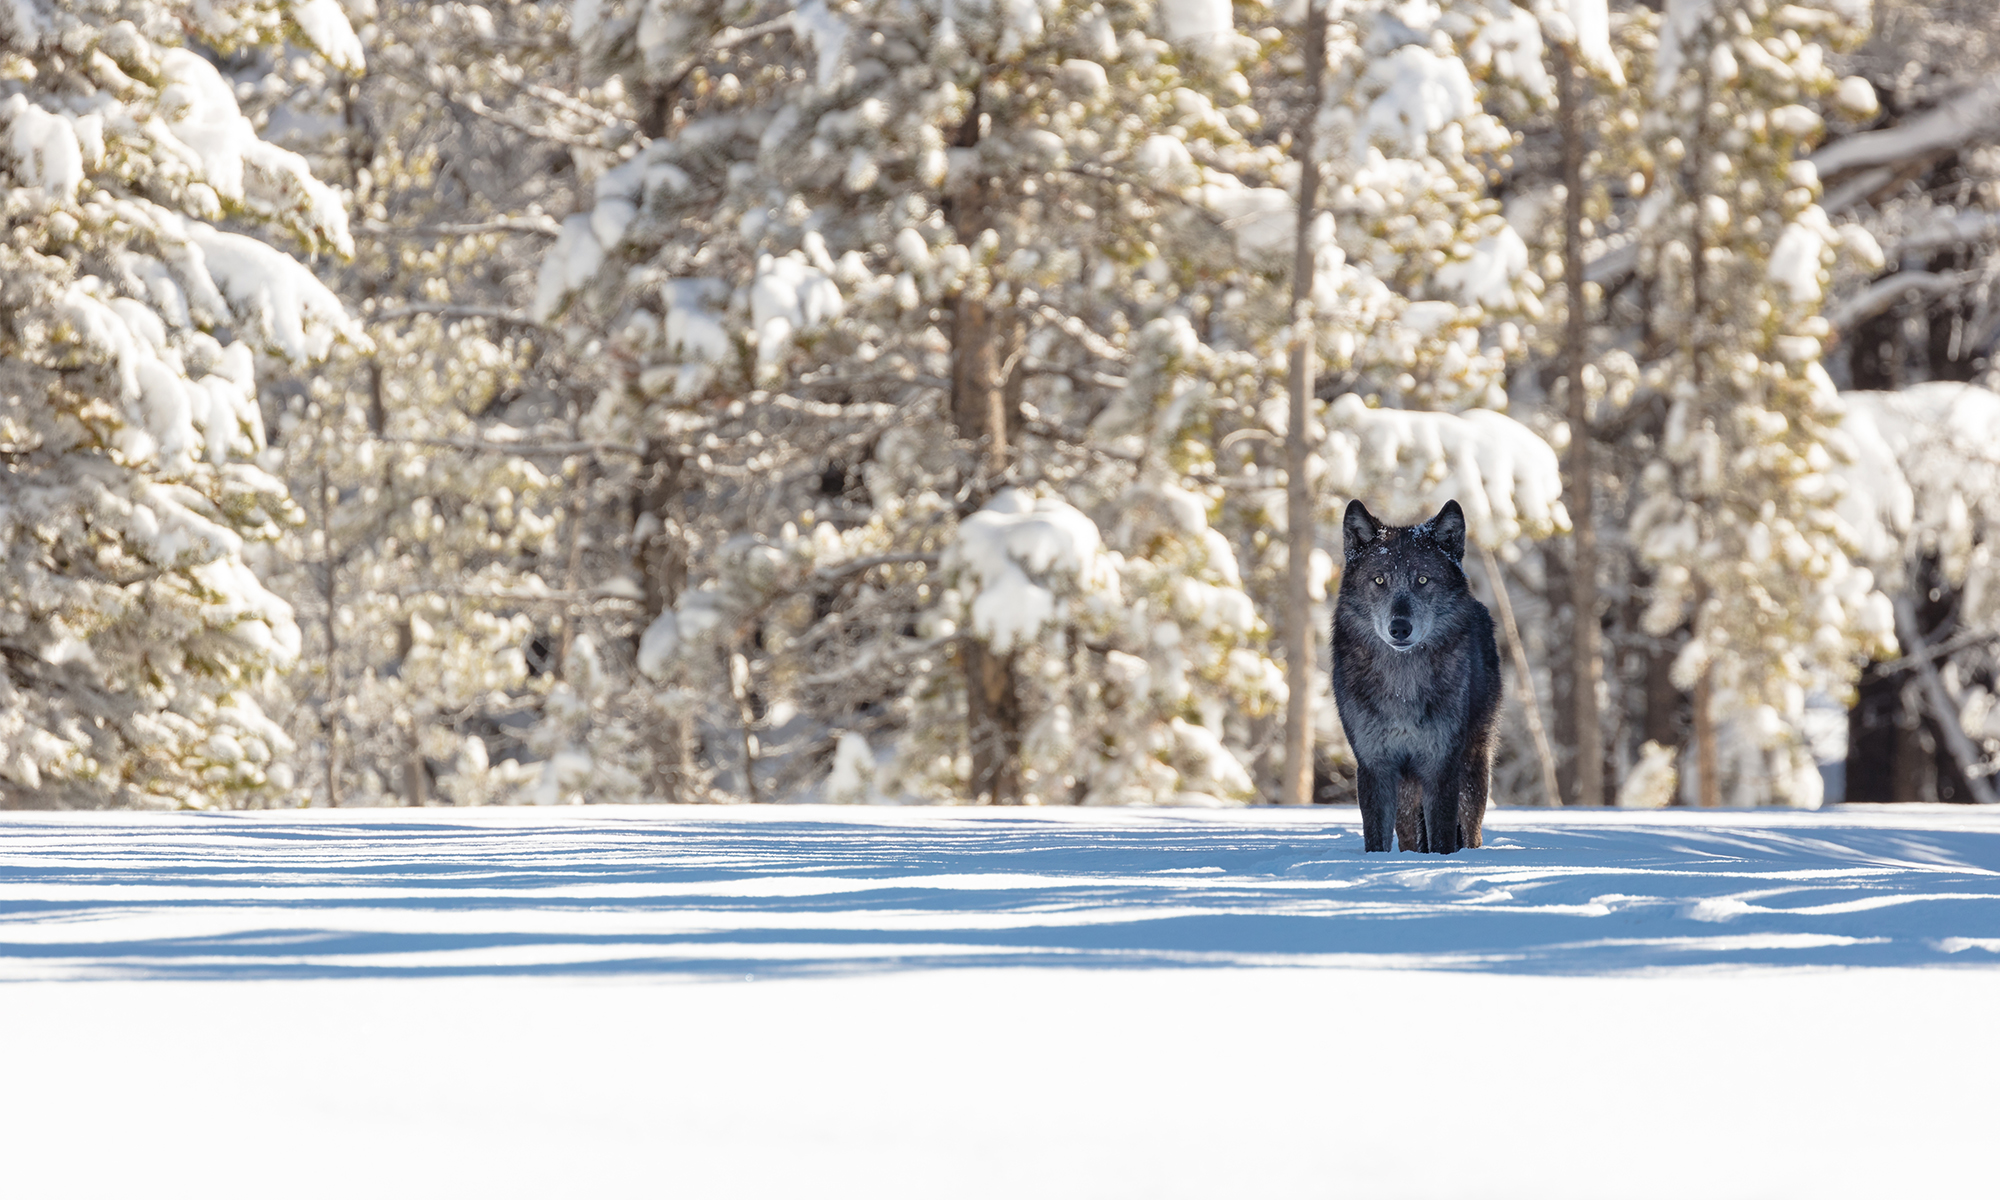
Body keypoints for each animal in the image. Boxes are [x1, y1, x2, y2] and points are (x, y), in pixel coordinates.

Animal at [1328, 496, 1504, 852]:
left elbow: (1442, 838)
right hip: (1408, 791)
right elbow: (1376, 839)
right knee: (1409, 835)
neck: (1402, 686)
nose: (1399, 628)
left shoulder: (1441, 765)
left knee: (1471, 829)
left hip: (1473, 768)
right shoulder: (1376, 765)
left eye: (1422, 580)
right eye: (1379, 580)